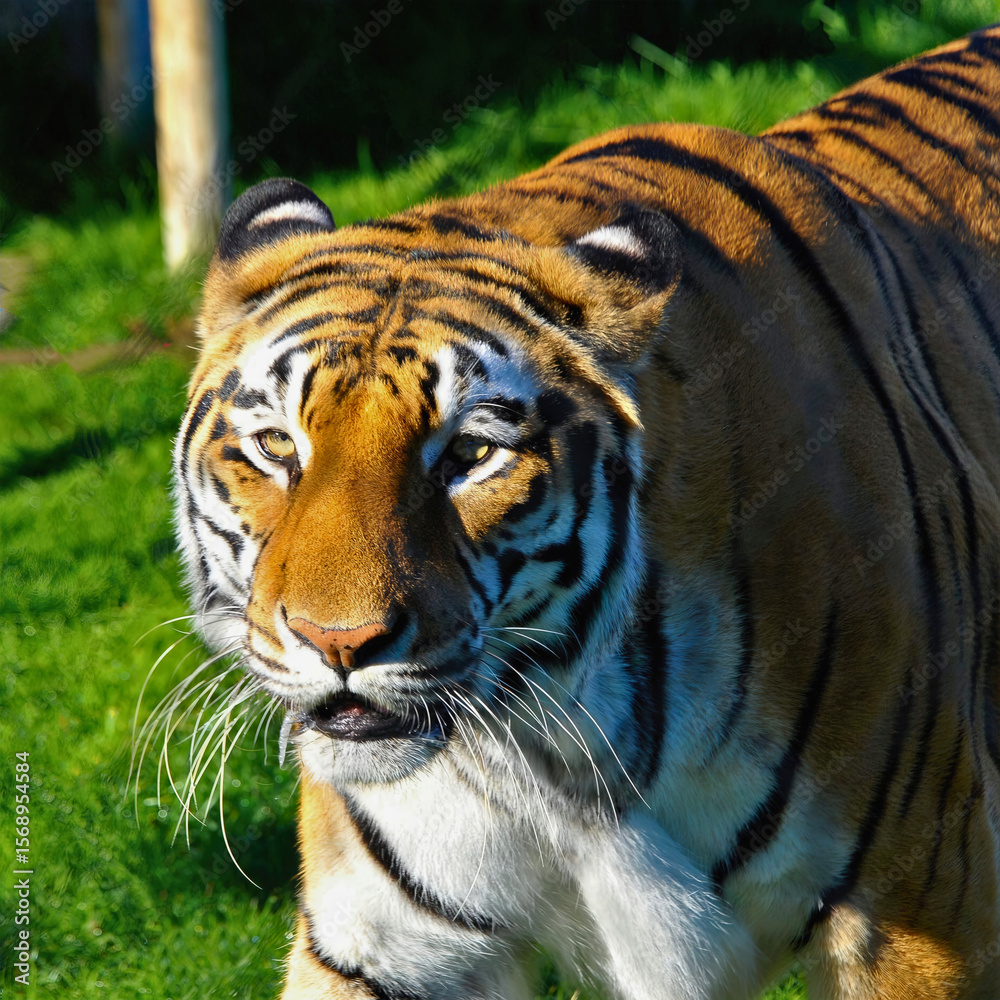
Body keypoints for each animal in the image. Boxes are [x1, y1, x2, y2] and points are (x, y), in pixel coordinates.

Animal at [172, 24, 1000, 1000]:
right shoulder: (389, 945)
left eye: (470, 456)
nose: (339, 644)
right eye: (275, 446)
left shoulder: (920, 898)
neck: (555, 752)